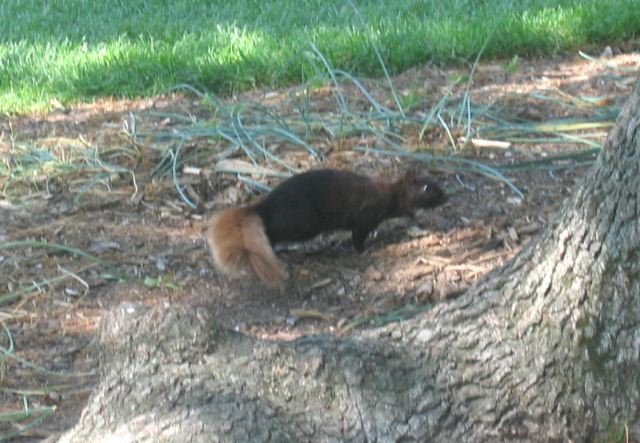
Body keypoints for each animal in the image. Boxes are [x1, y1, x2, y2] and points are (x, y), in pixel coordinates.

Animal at [205, 168, 444, 286]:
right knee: (271, 235)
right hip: (298, 223)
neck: (388, 196)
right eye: (428, 188)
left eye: (436, 183)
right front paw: (364, 249)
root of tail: (262, 206)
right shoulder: (365, 217)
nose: (447, 196)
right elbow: (358, 237)